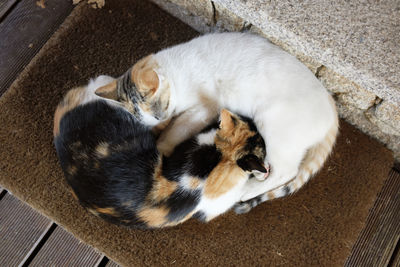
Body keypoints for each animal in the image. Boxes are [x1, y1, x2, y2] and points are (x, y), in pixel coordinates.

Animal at [95, 32, 340, 210]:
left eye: (161, 107)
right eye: (150, 117)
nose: (160, 119)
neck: (174, 74)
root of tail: (331, 107)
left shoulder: (204, 108)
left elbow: (177, 129)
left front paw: (161, 146)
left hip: (274, 129)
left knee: (286, 172)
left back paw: (247, 190)